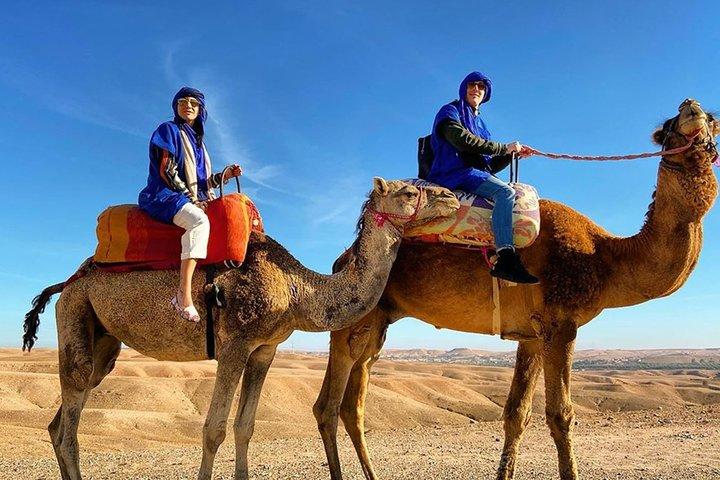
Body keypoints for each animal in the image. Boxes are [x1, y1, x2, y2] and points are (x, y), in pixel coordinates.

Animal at [21, 177, 459, 480]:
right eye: (408, 193)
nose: (453, 197)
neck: (295, 289)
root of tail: (69, 281)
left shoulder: (265, 350)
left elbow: (245, 427)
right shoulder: (234, 344)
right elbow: (213, 429)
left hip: (103, 339)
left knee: (63, 416)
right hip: (75, 311)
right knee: (70, 417)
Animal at [312, 99, 719, 480]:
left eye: (712, 120)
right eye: (670, 124)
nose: (691, 106)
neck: (601, 256)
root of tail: (341, 261)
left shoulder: (533, 335)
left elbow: (517, 413)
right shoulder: (561, 324)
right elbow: (560, 414)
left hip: (377, 325)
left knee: (352, 404)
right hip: (353, 321)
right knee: (327, 406)